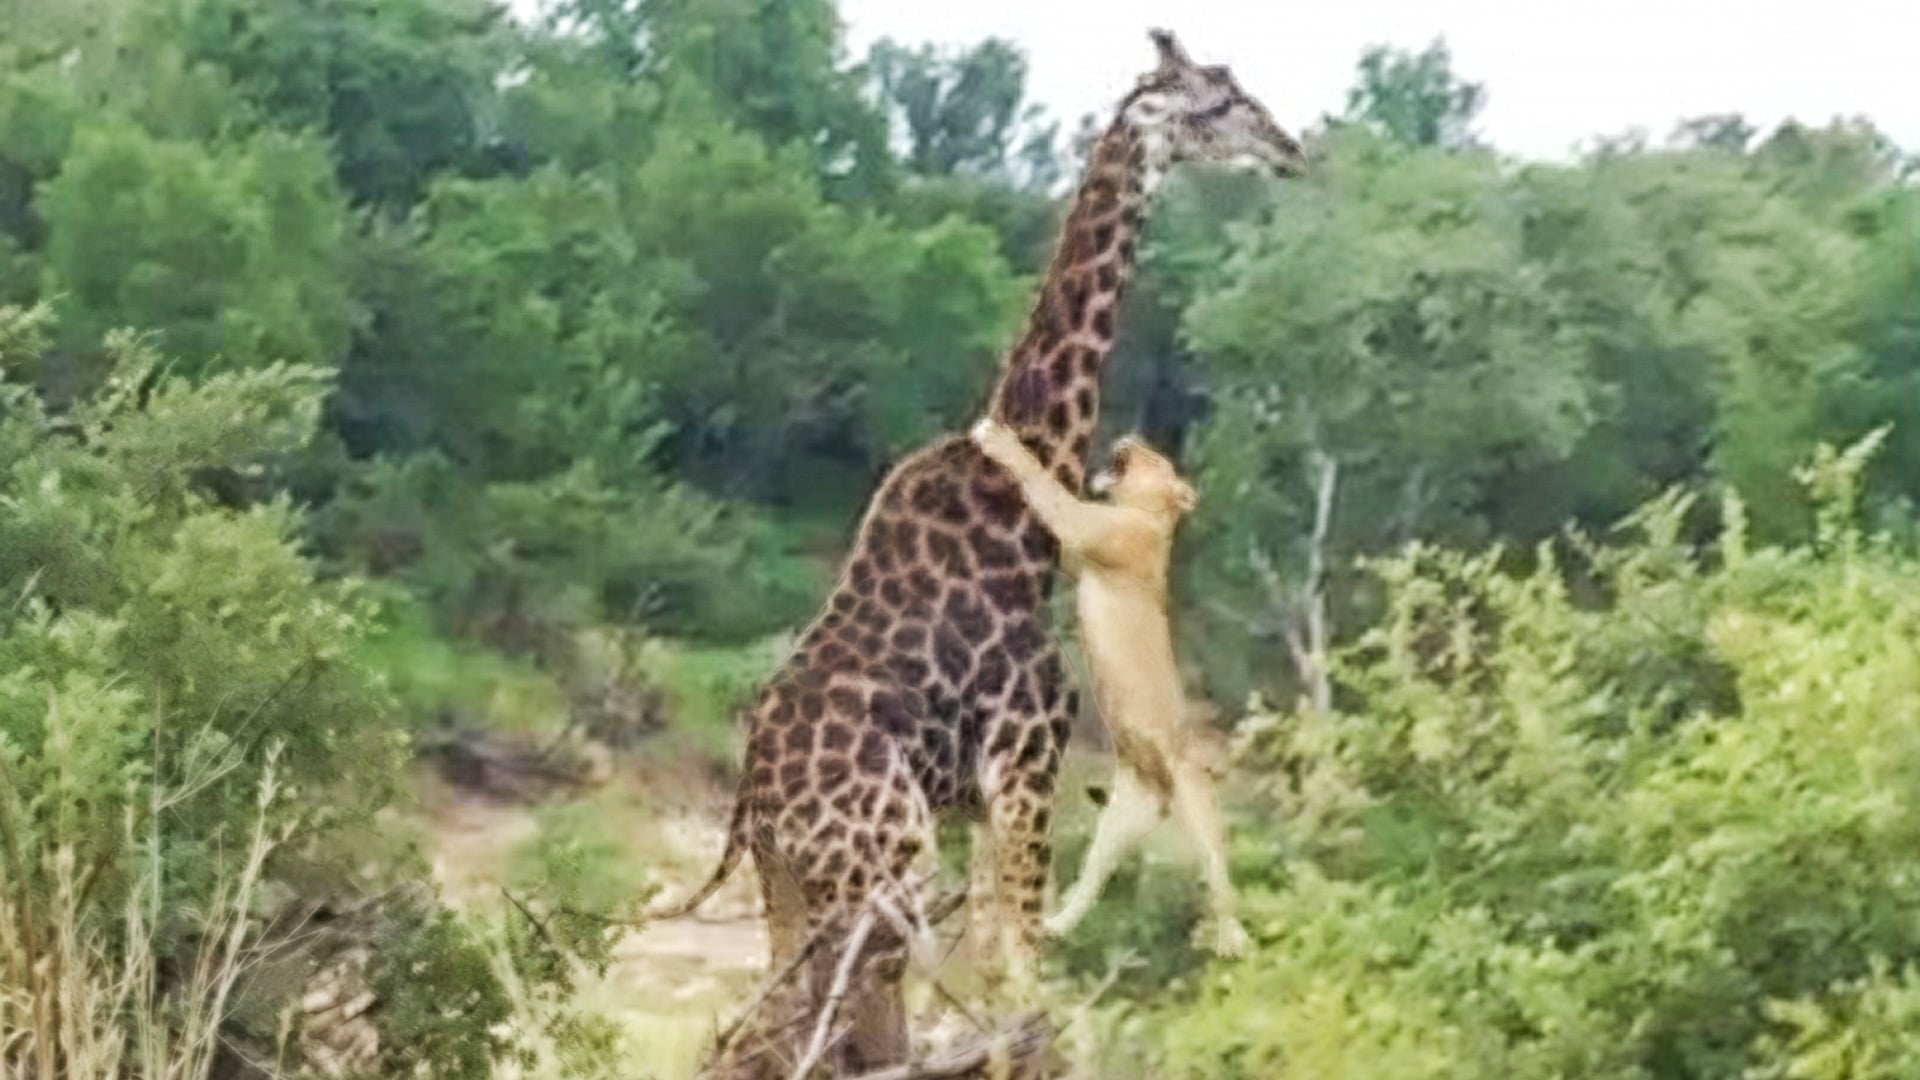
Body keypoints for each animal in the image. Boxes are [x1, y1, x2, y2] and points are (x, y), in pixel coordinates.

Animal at [652, 29, 1305, 1075]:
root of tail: (754, 799)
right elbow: (1018, 975)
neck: (1024, 528)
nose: (1289, 149)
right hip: (881, 869)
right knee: (824, 1031)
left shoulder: (976, 796)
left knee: (772, 1029)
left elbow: (1004, 969)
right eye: (1218, 102)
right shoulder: (1026, 762)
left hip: (796, 883)